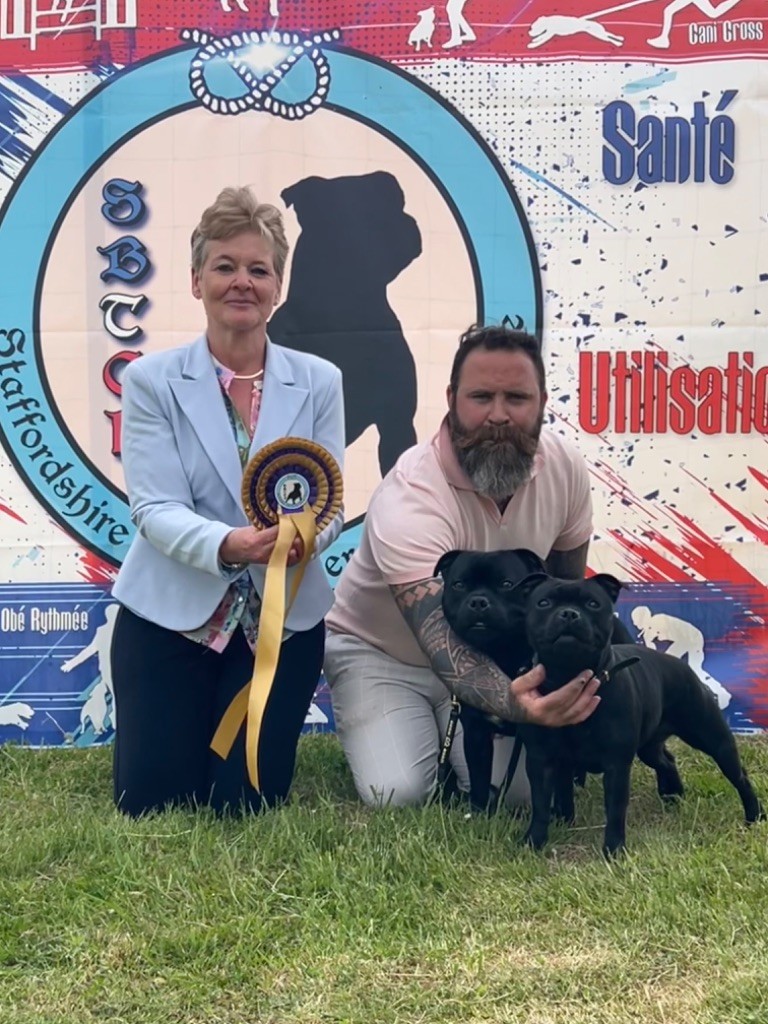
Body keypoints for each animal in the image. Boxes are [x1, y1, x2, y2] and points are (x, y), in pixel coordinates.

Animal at [518, 577, 765, 856]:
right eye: (543, 602)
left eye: (593, 604)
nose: (569, 613)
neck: (569, 677)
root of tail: (680, 665)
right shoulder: (542, 759)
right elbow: (542, 803)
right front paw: (536, 840)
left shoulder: (616, 765)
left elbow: (615, 810)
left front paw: (614, 850)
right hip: (649, 747)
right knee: (666, 760)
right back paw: (673, 796)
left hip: (714, 739)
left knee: (739, 777)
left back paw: (754, 816)